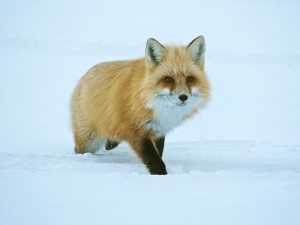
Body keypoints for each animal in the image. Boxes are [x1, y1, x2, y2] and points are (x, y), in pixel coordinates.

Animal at [71, 36, 210, 175]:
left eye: (189, 79)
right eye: (168, 79)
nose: (183, 97)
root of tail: (84, 76)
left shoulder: (158, 131)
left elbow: (158, 154)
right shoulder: (136, 130)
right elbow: (154, 159)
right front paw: (161, 175)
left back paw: (111, 143)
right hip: (88, 141)